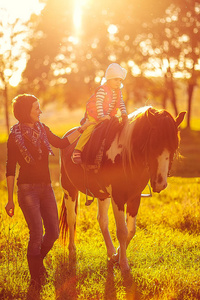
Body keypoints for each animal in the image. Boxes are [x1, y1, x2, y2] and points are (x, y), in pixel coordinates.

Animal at [59, 106, 186, 272]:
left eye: (174, 147)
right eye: (154, 144)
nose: (160, 183)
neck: (127, 155)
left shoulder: (134, 197)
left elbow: (131, 230)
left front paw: (117, 255)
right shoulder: (118, 198)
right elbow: (121, 231)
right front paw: (124, 264)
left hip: (102, 195)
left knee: (102, 220)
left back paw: (111, 252)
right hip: (69, 189)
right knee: (72, 219)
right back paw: (72, 252)